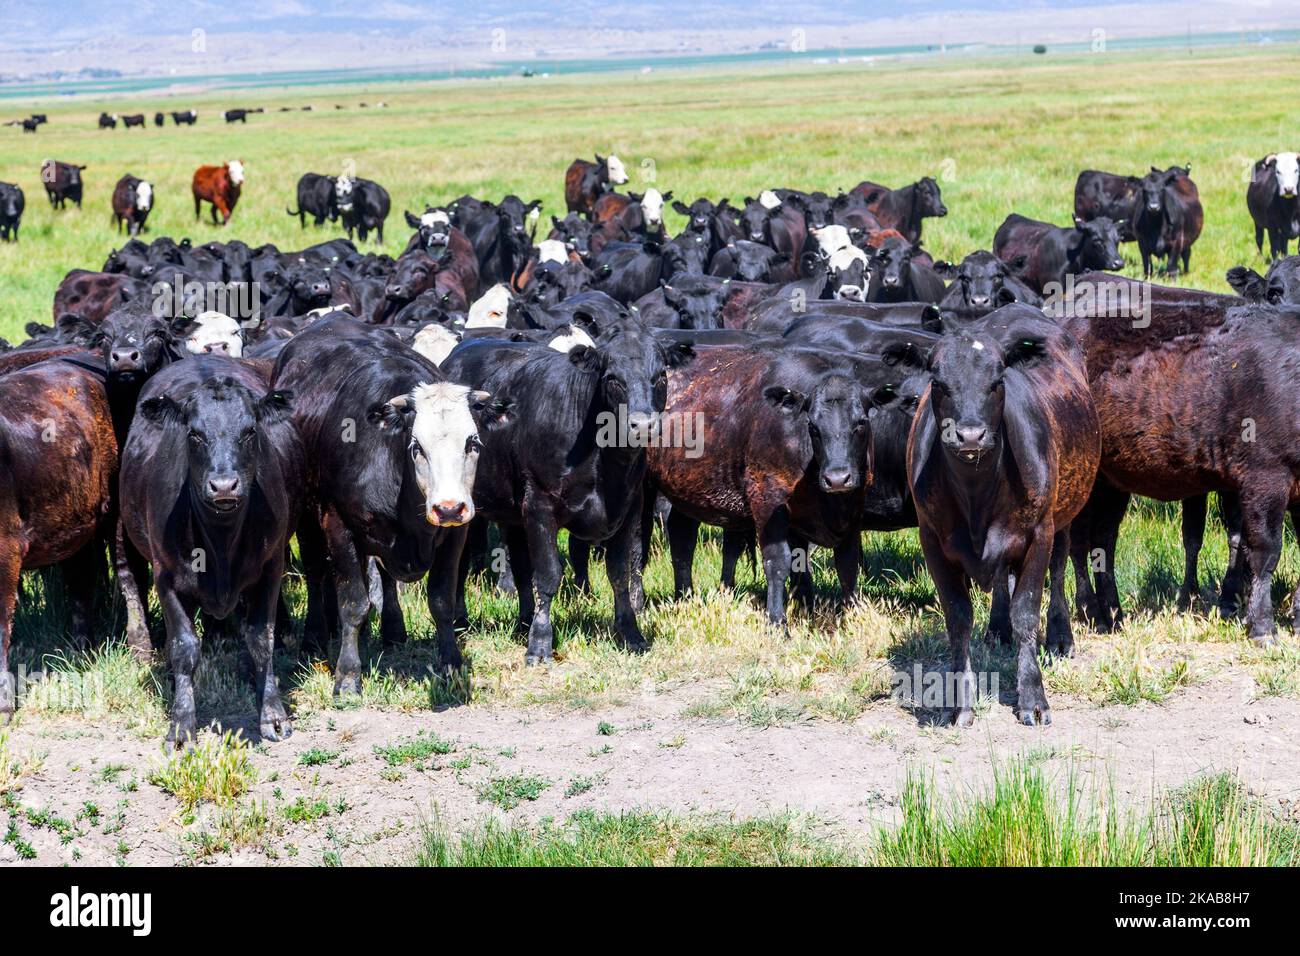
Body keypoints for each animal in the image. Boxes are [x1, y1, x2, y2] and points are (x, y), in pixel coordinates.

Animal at [120, 357, 301, 743]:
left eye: (250, 431)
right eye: (194, 434)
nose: (223, 485)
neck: (221, 541)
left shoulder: (271, 567)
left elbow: (261, 638)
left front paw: (272, 713)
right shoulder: (166, 575)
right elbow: (184, 646)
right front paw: (181, 723)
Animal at [271, 318, 494, 688]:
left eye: (473, 443)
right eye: (417, 446)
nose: (448, 507)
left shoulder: (456, 533)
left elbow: (442, 600)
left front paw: (451, 663)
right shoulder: (338, 524)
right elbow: (353, 603)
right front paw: (348, 676)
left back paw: (392, 630)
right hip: (307, 519)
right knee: (317, 573)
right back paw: (314, 638)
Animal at [442, 325, 693, 663]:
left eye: (661, 376)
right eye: (612, 378)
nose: (643, 425)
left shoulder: (628, 508)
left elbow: (620, 573)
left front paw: (630, 633)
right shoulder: (539, 504)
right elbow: (548, 575)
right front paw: (540, 644)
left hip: (513, 511)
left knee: (520, 565)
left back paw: (524, 621)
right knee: (462, 561)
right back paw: (461, 620)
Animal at [907, 305, 1100, 727]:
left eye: (997, 382)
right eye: (938, 382)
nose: (970, 435)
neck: (976, 494)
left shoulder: (1039, 533)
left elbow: (1026, 611)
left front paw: (1034, 698)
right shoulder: (931, 540)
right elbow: (958, 617)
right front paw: (960, 704)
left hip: (1064, 514)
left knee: (1059, 569)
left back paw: (1060, 635)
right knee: (999, 579)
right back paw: (997, 628)